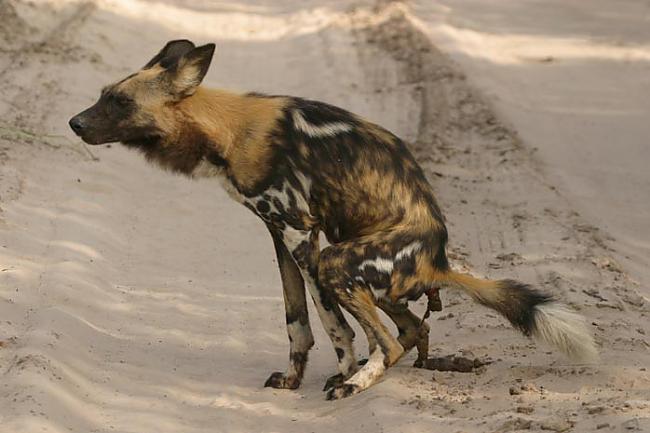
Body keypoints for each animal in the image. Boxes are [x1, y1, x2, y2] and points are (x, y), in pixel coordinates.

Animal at [71, 40, 596, 398]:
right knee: (412, 329)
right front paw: (293, 379)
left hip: (341, 264)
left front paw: (342, 373)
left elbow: (332, 325)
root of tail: (439, 260)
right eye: (103, 95)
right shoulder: (280, 236)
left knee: (390, 341)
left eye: (120, 102)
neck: (228, 131)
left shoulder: (303, 238)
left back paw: (356, 384)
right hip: (371, 280)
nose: (74, 123)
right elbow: (296, 322)